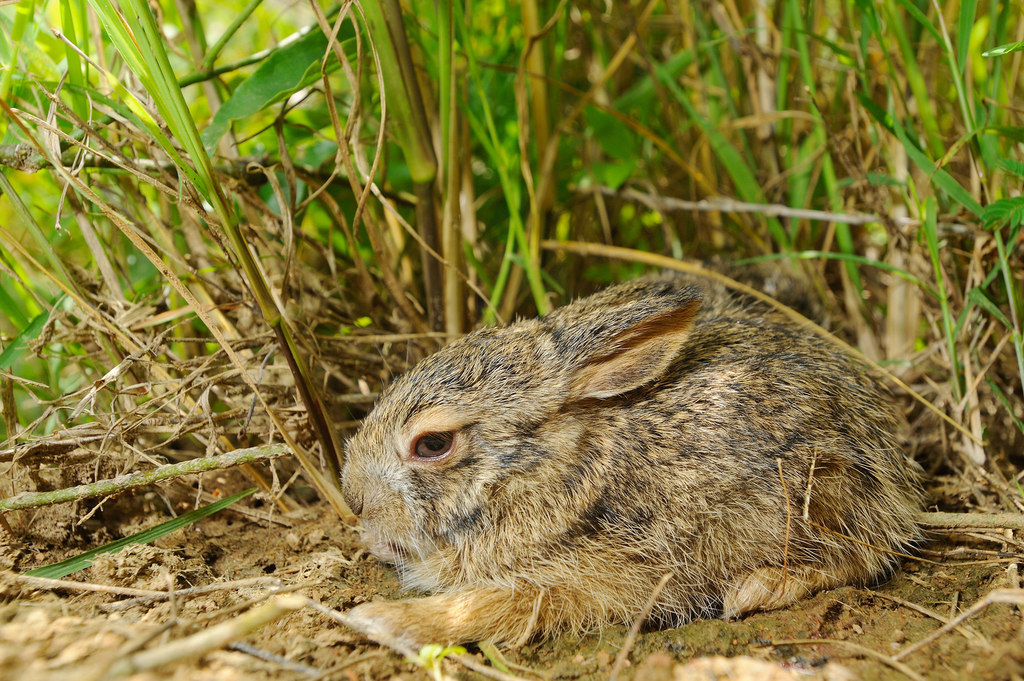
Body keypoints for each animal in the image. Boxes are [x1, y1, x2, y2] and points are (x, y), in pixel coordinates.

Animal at [340, 273, 923, 646]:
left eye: (433, 445)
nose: (354, 498)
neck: (547, 471)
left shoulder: (603, 577)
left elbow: (494, 606)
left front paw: (378, 620)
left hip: (820, 493)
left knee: (862, 556)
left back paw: (759, 587)